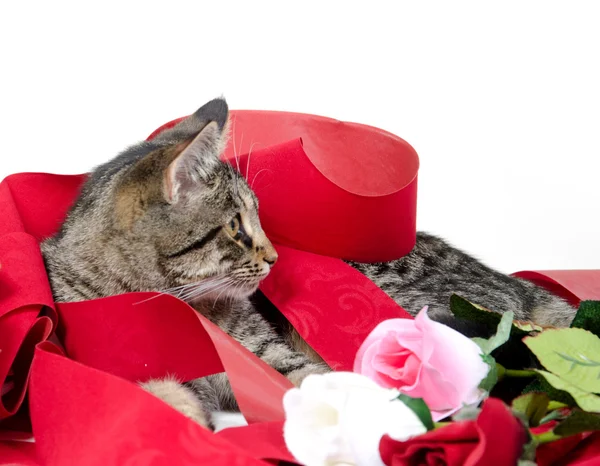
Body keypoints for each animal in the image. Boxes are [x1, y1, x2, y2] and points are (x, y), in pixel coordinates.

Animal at [42, 99, 576, 430]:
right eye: (236, 227)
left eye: (260, 218)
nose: (275, 256)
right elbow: (152, 393)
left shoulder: (272, 356)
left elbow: (311, 381)